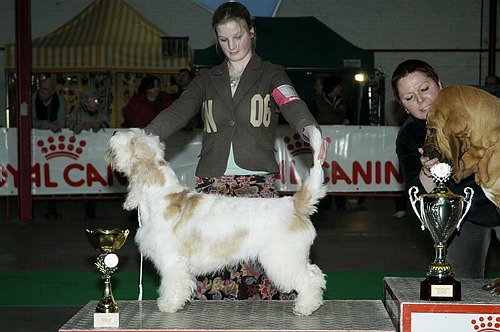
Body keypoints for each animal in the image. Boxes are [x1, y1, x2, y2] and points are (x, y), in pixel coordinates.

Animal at [106, 127, 328, 316]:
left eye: (132, 141)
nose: (114, 132)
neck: (162, 196)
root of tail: (294, 204)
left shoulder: (172, 260)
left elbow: (172, 284)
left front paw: (169, 305)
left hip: (284, 258)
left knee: (309, 279)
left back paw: (305, 307)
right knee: (315, 274)